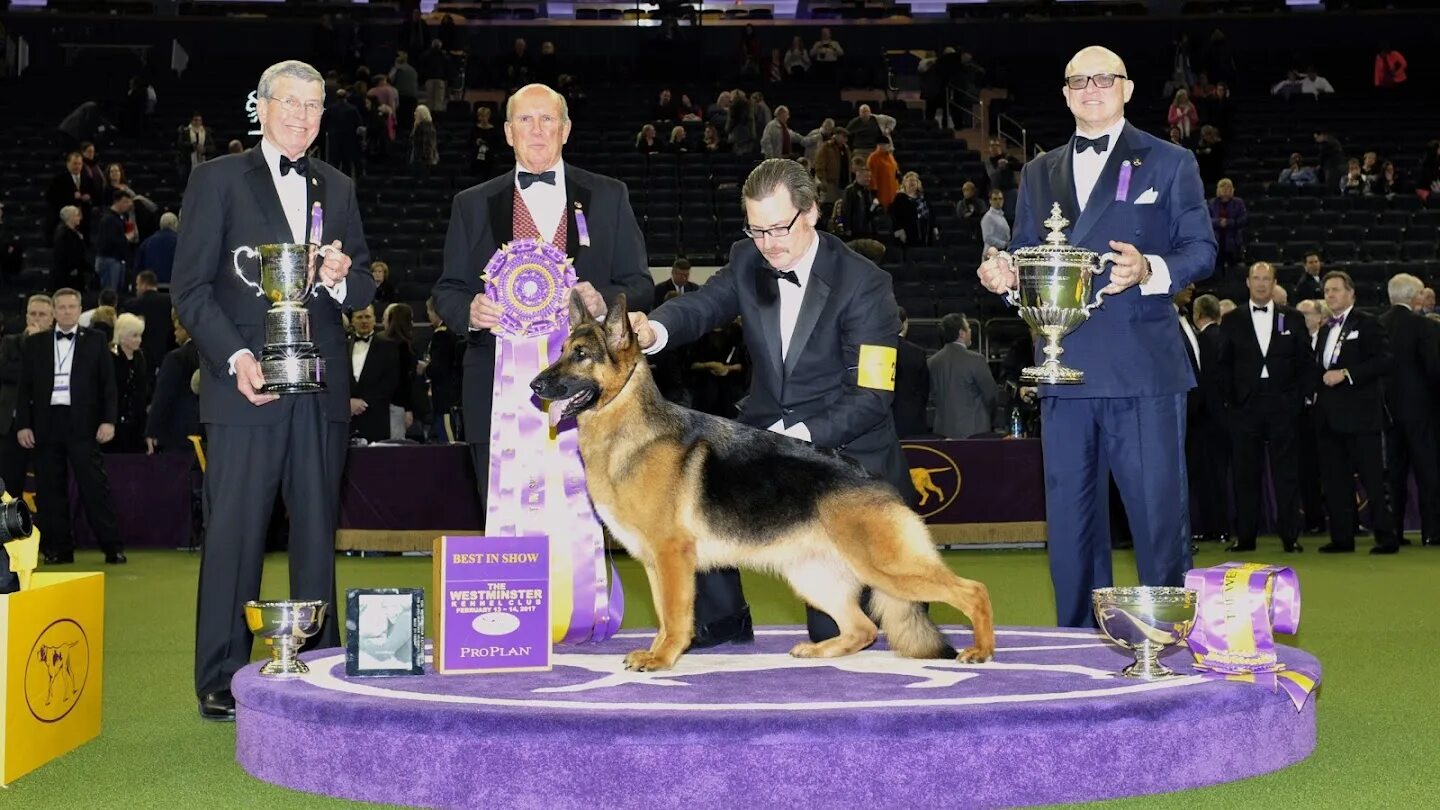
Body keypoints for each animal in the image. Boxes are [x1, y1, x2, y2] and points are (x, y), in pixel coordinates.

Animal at [527, 289, 990, 668]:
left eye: (581, 354)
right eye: (561, 350)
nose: (535, 385)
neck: (629, 429)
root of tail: (878, 483)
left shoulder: (673, 557)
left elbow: (675, 616)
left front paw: (662, 658)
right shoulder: (656, 562)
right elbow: (662, 614)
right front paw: (658, 651)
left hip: (889, 568)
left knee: (973, 590)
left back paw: (981, 650)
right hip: (814, 578)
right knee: (863, 628)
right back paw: (820, 650)